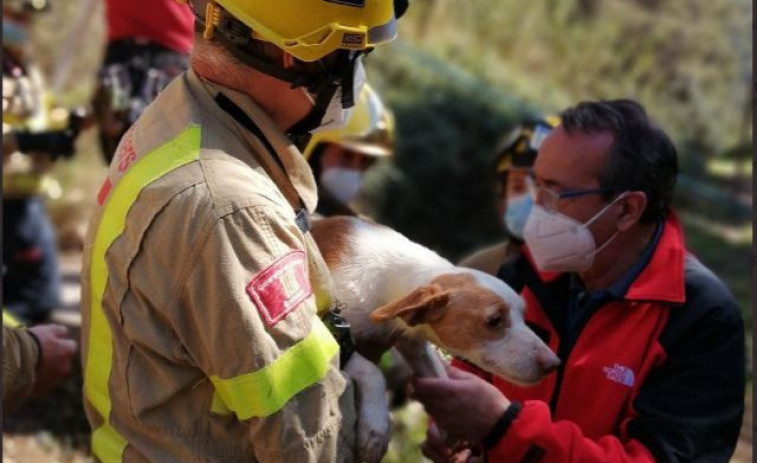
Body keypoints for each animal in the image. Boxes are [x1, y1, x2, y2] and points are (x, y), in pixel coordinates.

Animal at [310, 216, 560, 462]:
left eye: (523, 315)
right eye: (494, 320)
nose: (553, 363)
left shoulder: (413, 341)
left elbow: (437, 374)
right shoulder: (328, 333)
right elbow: (372, 372)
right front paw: (376, 426)